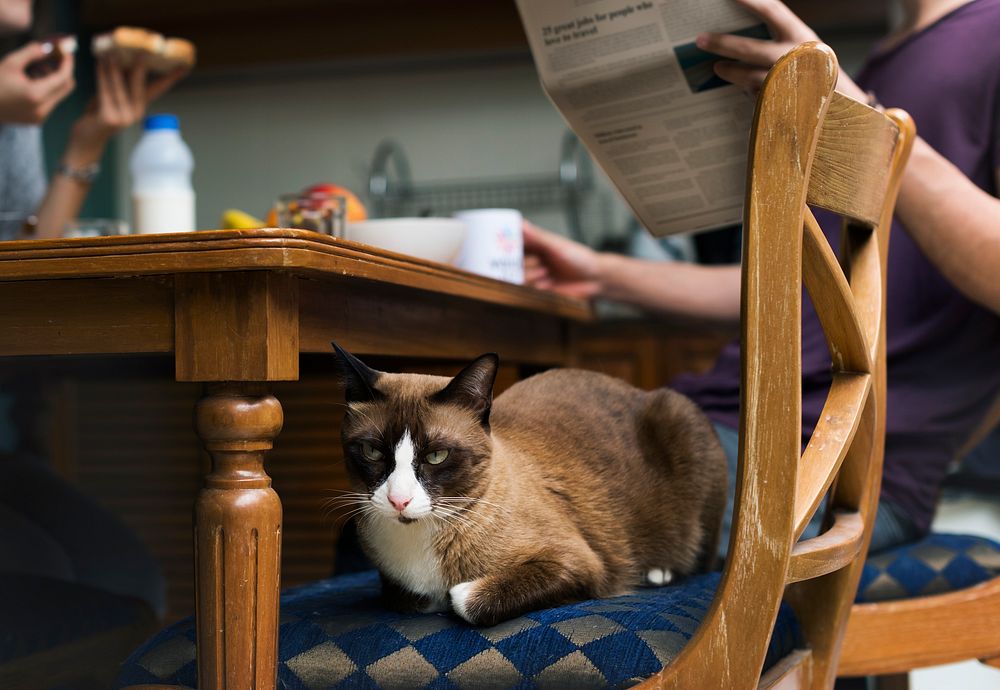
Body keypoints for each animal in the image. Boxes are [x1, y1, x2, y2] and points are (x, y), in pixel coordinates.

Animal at [332, 342, 724, 628]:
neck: (419, 538)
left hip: (681, 417)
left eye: (436, 456)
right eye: (371, 451)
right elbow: (410, 597)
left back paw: (659, 571)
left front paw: (455, 596)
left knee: (700, 558)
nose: (398, 501)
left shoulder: (578, 562)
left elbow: (464, 600)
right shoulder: (397, 586)